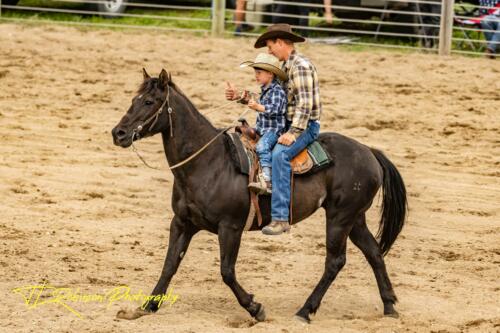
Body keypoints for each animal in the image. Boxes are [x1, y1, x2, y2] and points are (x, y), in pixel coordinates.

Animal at [110, 69, 406, 322]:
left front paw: (255, 307)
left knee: (335, 262)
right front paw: (147, 306)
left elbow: (227, 272)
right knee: (374, 252)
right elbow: (170, 264)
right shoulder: (182, 223)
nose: (118, 133)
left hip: (339, 218)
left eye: (149, 101)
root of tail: (369, 152)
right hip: (355, 218)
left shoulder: (230, 227)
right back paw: (389, 306)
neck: (209, 162)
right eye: (134, 99)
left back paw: (305, 310)